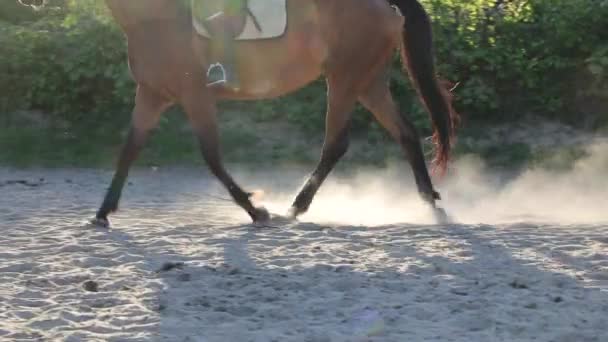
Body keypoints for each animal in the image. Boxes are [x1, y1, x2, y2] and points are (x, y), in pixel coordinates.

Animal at [17, 0, 456, 227]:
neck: (154, 15)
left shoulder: (195, 96)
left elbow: (211, 157)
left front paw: (255, 209)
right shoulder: (151, 95)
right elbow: (129, 150)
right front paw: (102, 213)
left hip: (346, 78)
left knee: (336, 143)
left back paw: (294, 206)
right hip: (368, 81)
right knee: (405, 133)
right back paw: (428, 200)